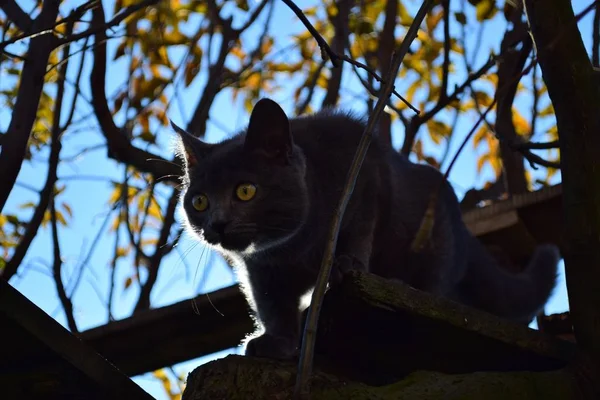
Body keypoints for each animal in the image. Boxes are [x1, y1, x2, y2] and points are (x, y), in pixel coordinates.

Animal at [171, 98, 560, 360]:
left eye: (245, 190)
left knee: (432, 285)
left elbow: (357, 233)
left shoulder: (363, 184)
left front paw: (345, 266)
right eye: (200, 201)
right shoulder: (261, 271)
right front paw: (276, 342)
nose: (216, 224)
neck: (291, 248)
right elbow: (271, 305)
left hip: (435, 239)